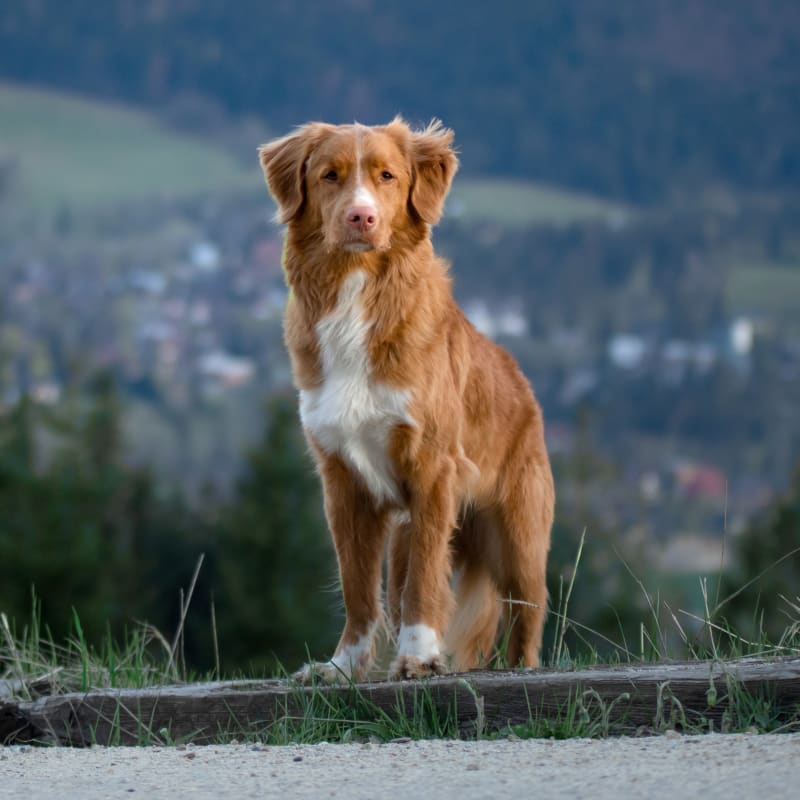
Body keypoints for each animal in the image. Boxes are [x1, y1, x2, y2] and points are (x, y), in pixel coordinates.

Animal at [260, 117, 552, 680]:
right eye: (330, 175)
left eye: (387, 176)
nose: (362, 216)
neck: (357, 293)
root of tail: (523, 384)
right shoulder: (342, 483)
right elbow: (357, 587)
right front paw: (343, 666)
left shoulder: (433, 470)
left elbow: (425, 578)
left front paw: (418, 656)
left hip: (519, 532)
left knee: (529, 606)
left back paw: (523, 670)